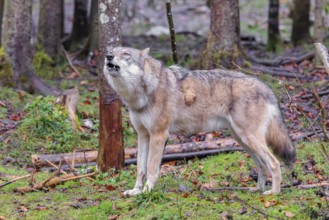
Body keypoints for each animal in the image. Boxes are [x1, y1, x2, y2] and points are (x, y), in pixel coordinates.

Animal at [102, 46, 294, 196]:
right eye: (112, 51)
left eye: (126, 54)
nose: (108, 56)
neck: (143, 91)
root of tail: (266, 87)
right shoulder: (143, 136)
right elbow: (140, 168)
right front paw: (136, 191)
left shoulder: (159, 135)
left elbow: (151, 168)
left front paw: (147, 191)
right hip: (242, 140)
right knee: (262, 165)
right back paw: (258, 189)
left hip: (250, 139)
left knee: (274, 163)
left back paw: (274, 192)